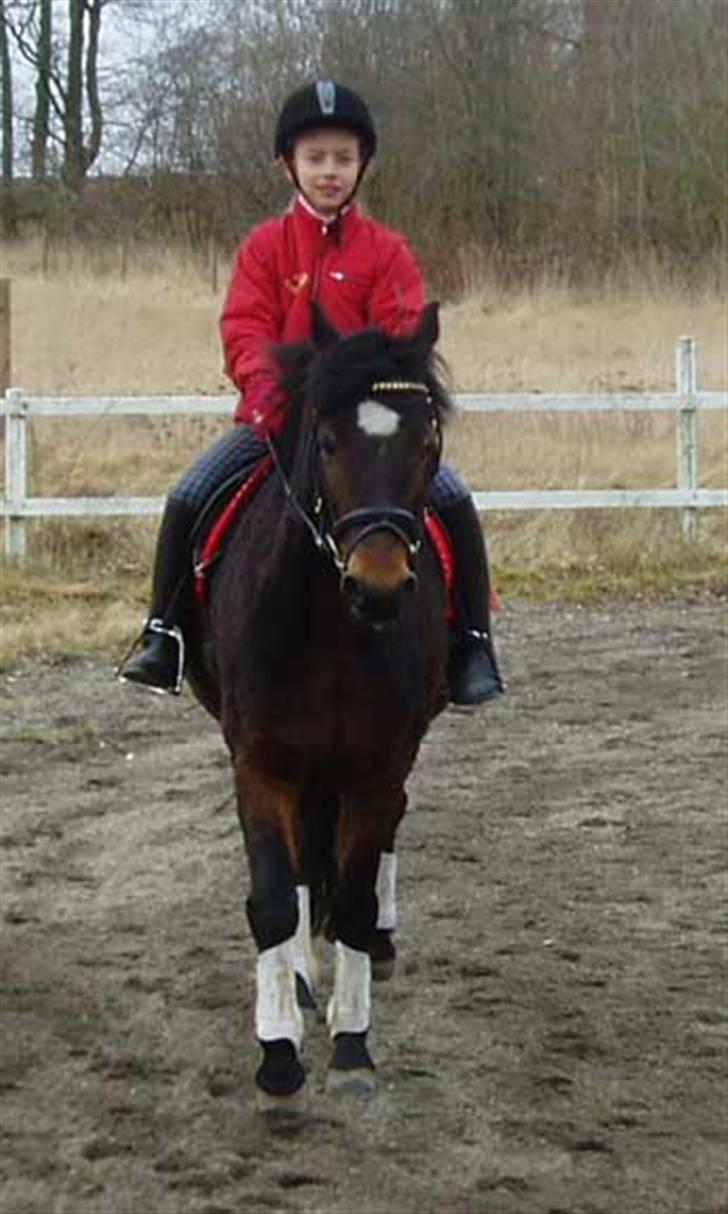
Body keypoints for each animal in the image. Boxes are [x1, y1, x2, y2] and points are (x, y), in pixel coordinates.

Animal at [184, 301, 451, 1112]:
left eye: (427, 441)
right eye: (327, 441)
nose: (379, 587)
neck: (333, 627)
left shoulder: (379, 763)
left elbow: (358, 898)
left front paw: (353, 1042)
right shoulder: (261, 761)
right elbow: (275, 895)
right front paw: (278, 1052)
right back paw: (301, 976)